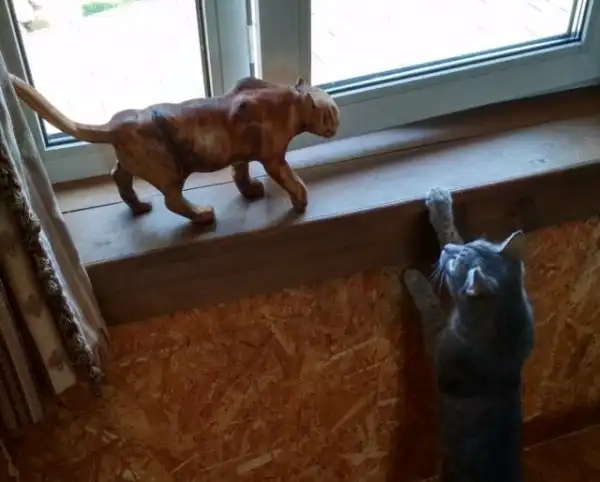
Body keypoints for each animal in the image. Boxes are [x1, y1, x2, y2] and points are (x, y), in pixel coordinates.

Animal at [403, 187, 534, 482]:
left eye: (454, 264)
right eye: (474, 241)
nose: (445, 251)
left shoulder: (439, 343)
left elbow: (430, 306)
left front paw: (415, 279)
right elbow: (453, 232)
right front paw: (441, 206)